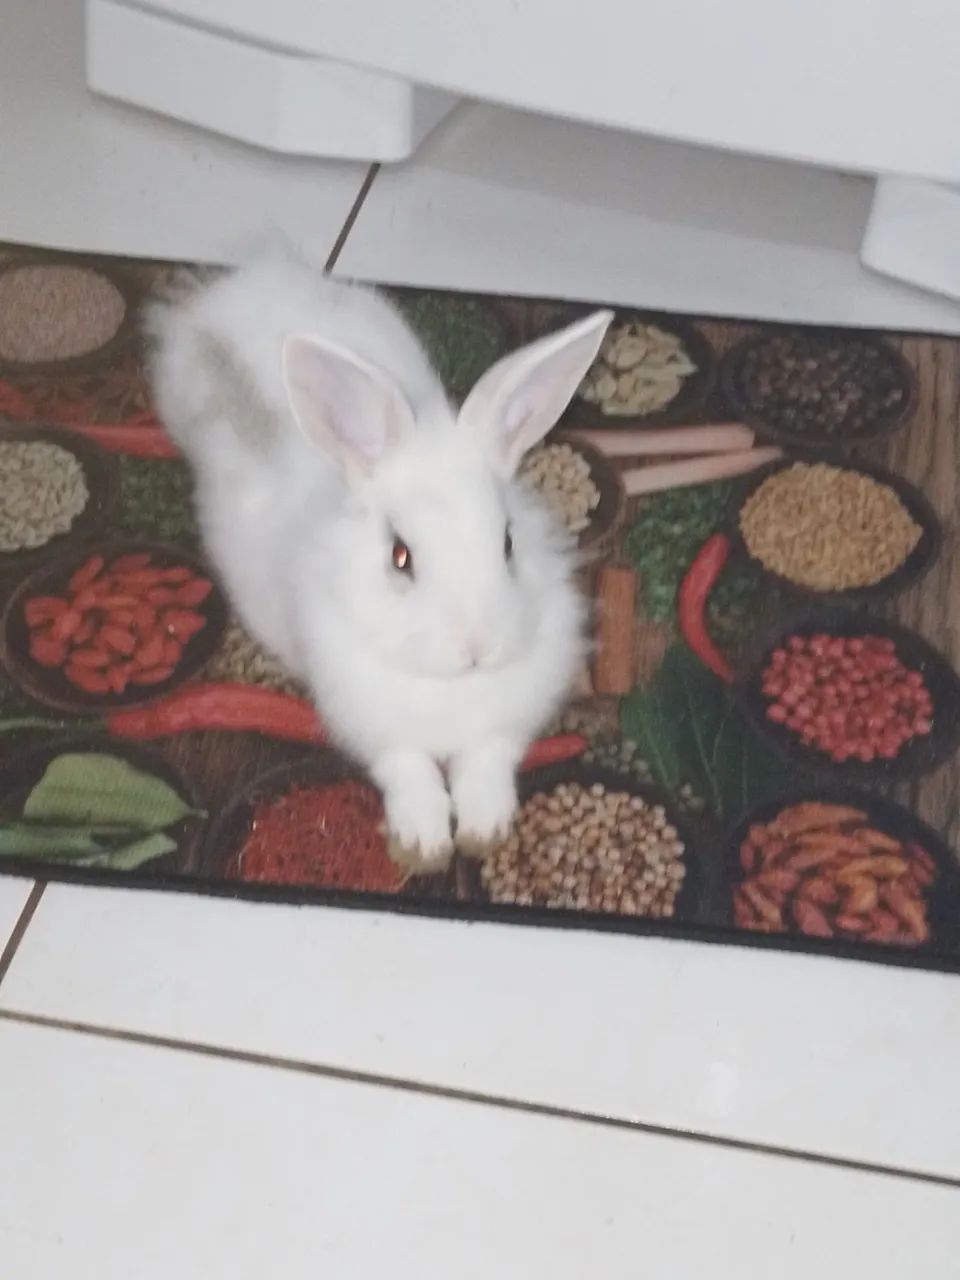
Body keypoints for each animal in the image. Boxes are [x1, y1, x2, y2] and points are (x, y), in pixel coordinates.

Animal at [146, 247, 612, 871]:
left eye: (508, 542)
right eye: (400, 556)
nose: (476, 647)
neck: (448, 686)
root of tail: (244, 283)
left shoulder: (501, 728)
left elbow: (486, 765)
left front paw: (483, 832)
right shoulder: (377, 727)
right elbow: (409, 771)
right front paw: (424, 845)